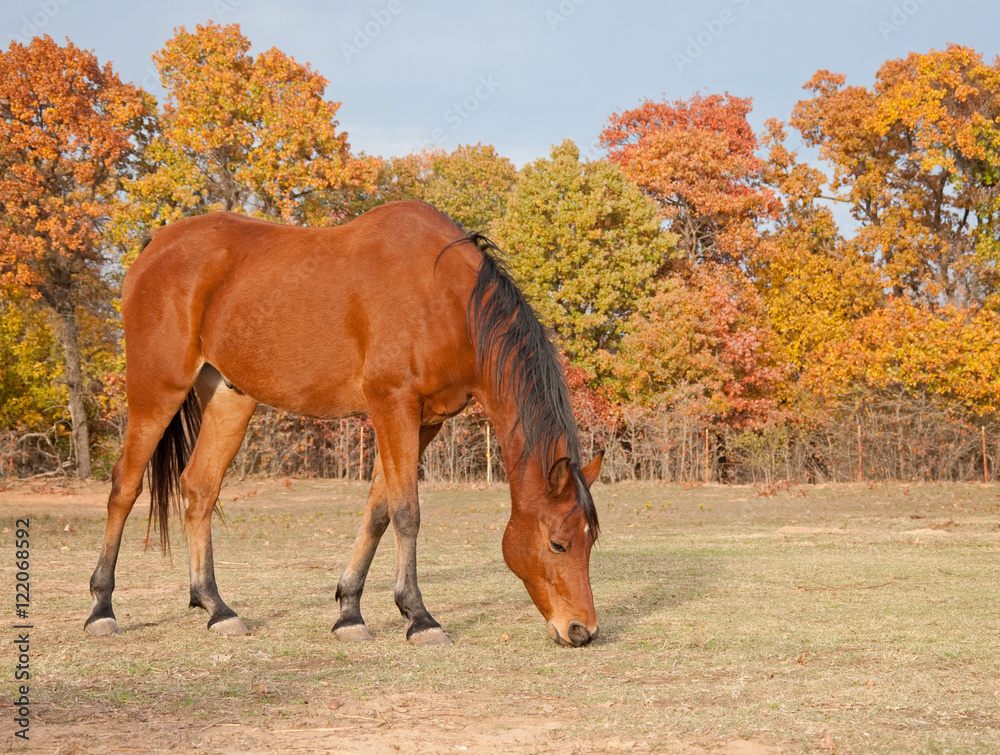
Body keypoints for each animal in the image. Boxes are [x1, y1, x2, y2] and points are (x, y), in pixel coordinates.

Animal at [85, 200, 602, 647]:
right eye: (558, 544)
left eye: (591, 540)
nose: (582, 630)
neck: (446, 299)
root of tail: (155, 245)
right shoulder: (393, 406)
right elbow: (407, 513)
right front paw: (420, 618)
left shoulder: (424, 421)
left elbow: (378, 511)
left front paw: (350, 612)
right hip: (156, 391)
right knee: (124, 487)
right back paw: (102, 609)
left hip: (229, 399)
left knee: (199, 489)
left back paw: (216, 608)